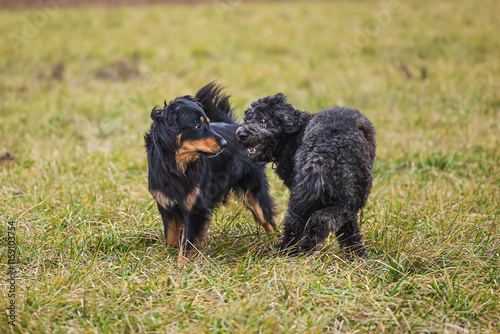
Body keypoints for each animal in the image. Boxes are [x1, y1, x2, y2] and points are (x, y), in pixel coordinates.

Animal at [145, 83, 278, 264]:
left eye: (208, 124)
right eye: (197, 126)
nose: (224, 143)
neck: (178, 166)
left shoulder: (196, 208)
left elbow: (186, 244)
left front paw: (181, 268)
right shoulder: (166, 204)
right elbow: (172, 237)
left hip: (254, 193)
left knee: (269, 222)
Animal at [235, 94, 376, 258]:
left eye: (262, 120)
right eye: (247, 119)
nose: (241, 134)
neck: (291, 136)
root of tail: (323, 155)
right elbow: (348, 228)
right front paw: (356, 255)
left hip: (307, 196)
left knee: (297, 224)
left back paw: (288, 252)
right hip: (349, 198)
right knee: (327, 220)